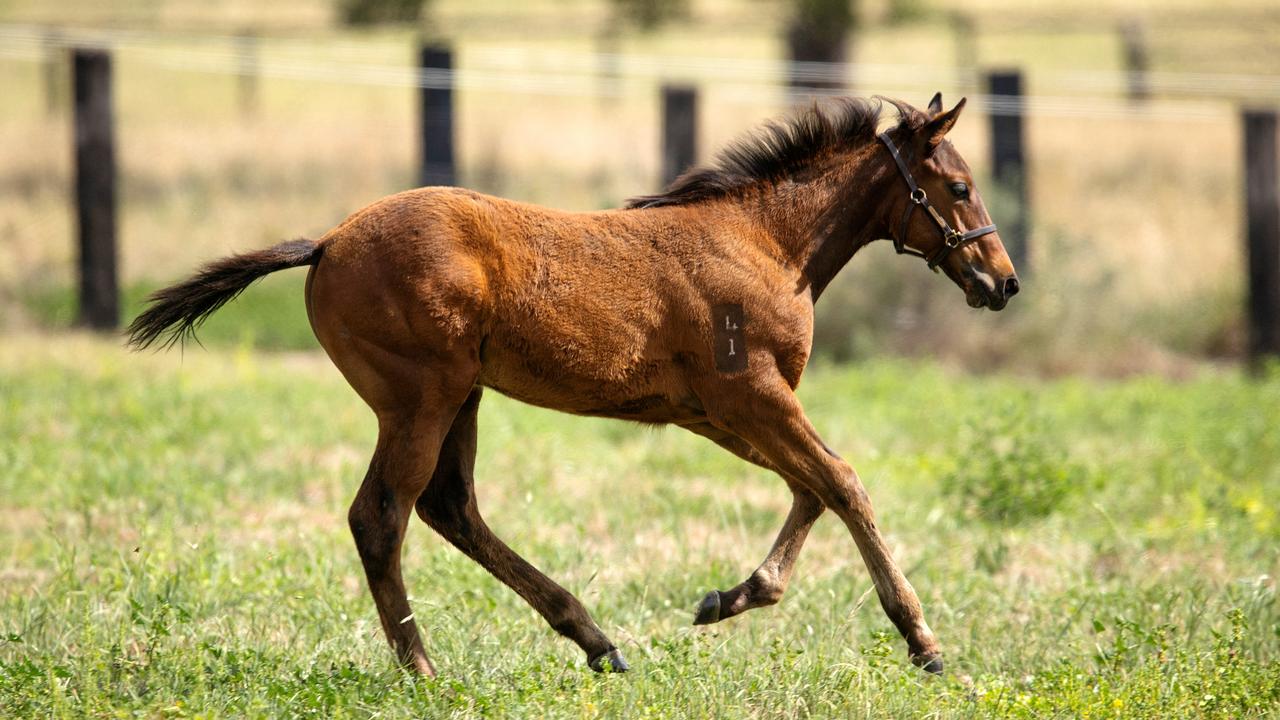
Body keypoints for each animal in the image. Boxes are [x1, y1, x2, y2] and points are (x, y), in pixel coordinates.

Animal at [129, 94, 1018, 671]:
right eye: (960, 187)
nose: (1003, 282)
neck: (765, 242)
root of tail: (326, 242)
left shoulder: (713, 411)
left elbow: (812, 486)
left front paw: (729, 598)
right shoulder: (751, 394)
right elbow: (843, 480)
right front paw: (923, 641)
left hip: (461, 396)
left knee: (450, 507)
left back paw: (594, 640)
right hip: (420, 397)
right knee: (382, 516)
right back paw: (426, 672)